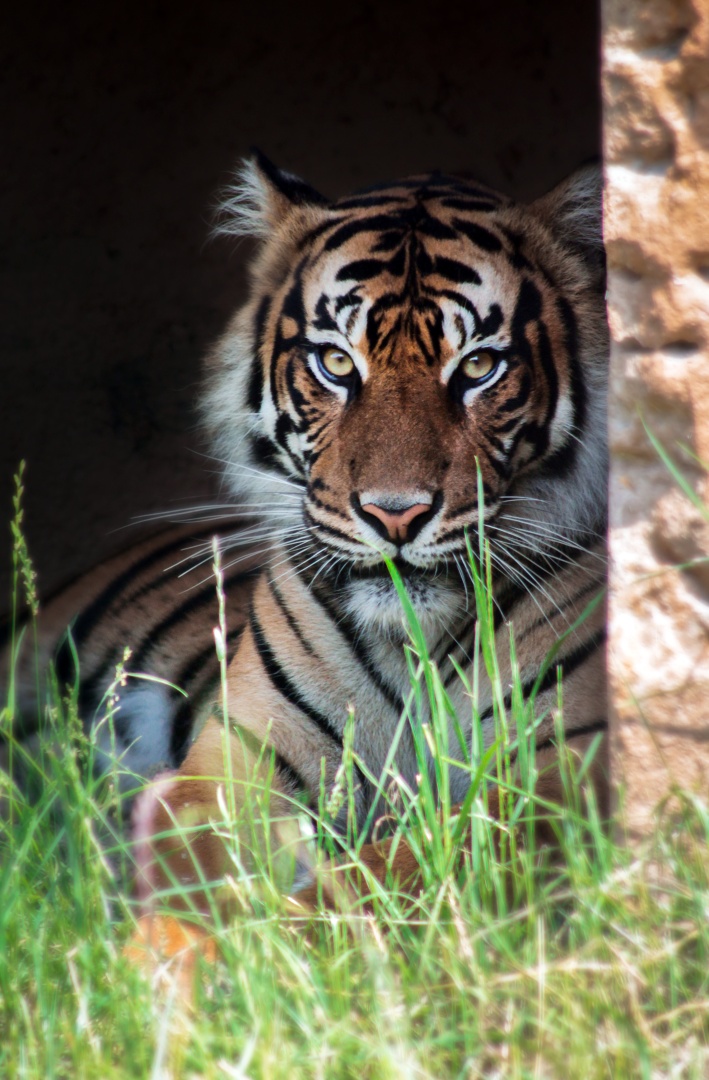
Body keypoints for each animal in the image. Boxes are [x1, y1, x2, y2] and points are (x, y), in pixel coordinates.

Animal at [1, 152, 609, 909]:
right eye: (337, 363)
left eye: (477, 366)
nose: (395, 514)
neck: (413, 640)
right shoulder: (236, 758)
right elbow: (191, 860)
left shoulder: (562, 775)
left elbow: (383, 882)